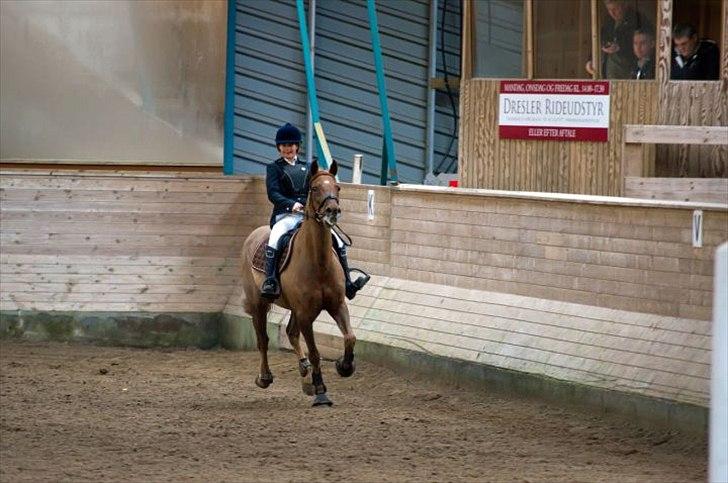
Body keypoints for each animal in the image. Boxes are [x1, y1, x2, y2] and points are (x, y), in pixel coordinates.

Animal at [239, 159, 356, 406]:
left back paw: (304, 372)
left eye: (337, 187)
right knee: (262, 340)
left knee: (291, 333)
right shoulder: (305, 315)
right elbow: (315, 352)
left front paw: (344, 366)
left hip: (293, 307)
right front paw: (321, 391)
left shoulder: (337, 305)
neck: (318, 262)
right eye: (314, 188)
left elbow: (350, 337)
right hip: (259, 304)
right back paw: (265, 378)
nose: (332, 211)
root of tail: (254, 234)